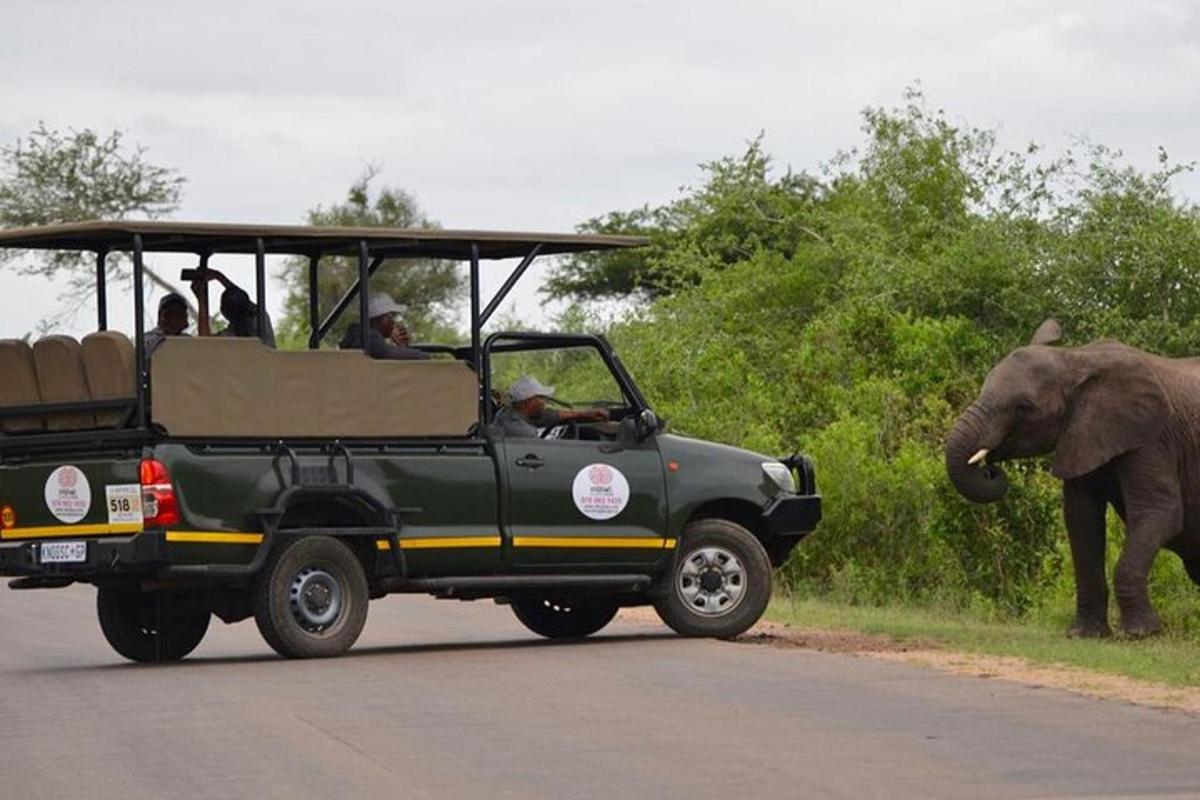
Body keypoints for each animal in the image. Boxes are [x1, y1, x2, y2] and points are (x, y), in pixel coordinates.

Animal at [940, 319, 1200, 638]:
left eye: (1024, 407)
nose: (989, 468)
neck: (1075, 358)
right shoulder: (1079, 434)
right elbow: (1081, 522)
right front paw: (1085, 634)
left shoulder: (1153, 438)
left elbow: (1159, 513)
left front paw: (1141, 634)